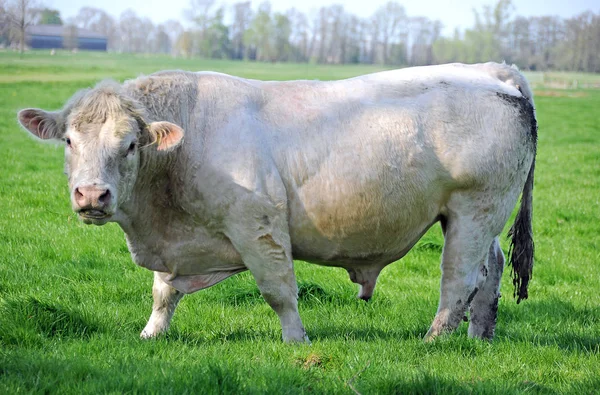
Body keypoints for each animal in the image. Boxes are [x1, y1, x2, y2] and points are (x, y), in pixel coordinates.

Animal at [18, 62, 536, 344]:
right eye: (69, 141)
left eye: (129, 145)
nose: (91, 195)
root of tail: (491, 72)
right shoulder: (182, 243)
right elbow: (164, 292)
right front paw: (150, 334)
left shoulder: (257, 224)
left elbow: (278, 290)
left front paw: (295, 339)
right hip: (474, 219)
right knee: (490, 270)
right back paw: (479, 335)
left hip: (474, 209)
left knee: (459, 280)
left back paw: (433, 340)